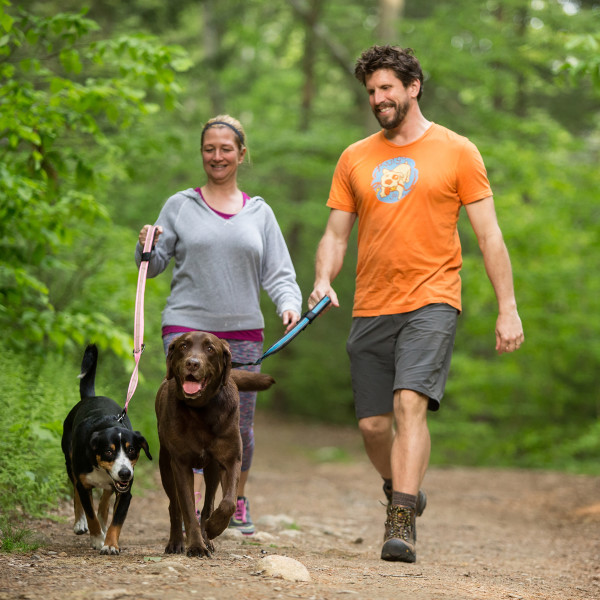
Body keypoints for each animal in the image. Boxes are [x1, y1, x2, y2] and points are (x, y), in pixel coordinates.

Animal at [61, 344, 152, 556]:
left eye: (132, 450)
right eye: (109, 452)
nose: (125, 473)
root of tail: (91, 397)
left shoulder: (126, 493)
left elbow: (116, 521)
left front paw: (110, 543)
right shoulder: (84, 484)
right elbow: (90, 513)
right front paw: (96, 539)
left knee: (104, 500)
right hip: (70, 464)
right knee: (77, 493)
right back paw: (80, 523)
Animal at [156, 330, 276, 556]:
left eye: (210, 349)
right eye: (183, 346)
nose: (192, 363)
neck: (201, 410)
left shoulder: (231, 460)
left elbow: (228, 502)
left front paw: (213, 528)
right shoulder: (181, 464)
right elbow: (187, 508)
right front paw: (196, 545)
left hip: (211, 470)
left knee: (209, 503)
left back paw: (208, 535)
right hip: (165, 465)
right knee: (174, 506)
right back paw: (176, 542)